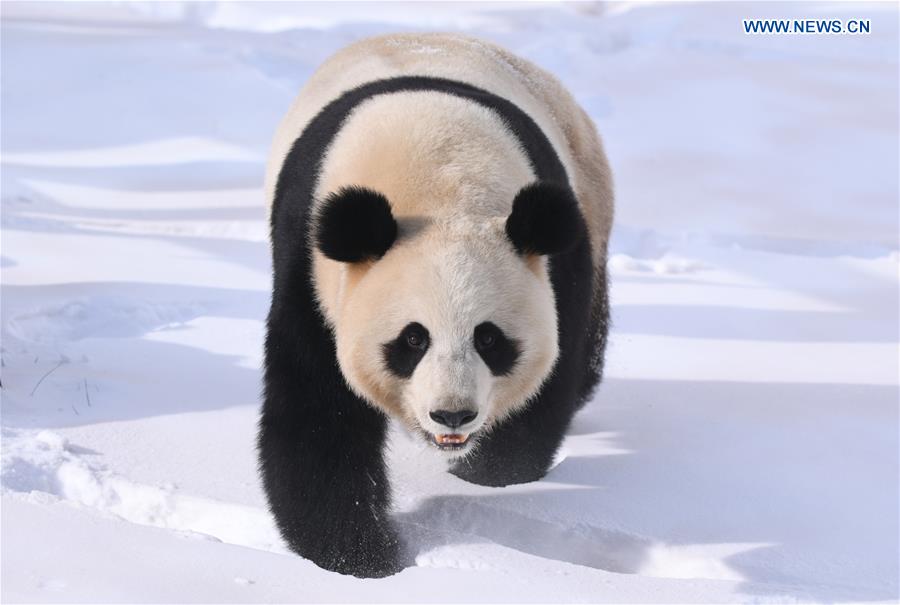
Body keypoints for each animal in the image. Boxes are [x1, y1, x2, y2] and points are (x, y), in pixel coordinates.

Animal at [259, 33, 613, 578]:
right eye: (412, 339)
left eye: (489, 338)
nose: (452, 416)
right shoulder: (311, 263)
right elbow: (316, 409)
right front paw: (362, 558)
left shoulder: (554, 261)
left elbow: (549, 381)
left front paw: (482, 476)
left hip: (590, 194)